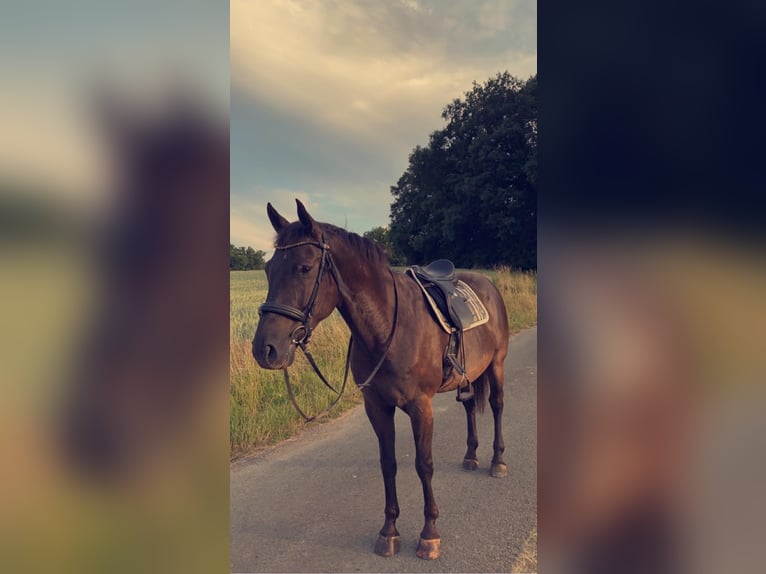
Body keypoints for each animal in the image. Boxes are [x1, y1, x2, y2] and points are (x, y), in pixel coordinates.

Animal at [252, 200, 512, 560]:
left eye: (304, 268)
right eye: (268, 269)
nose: (265, 349)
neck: (389, 325)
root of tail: (488, 285)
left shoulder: (421, 407)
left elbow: (423, 464)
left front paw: (429, 534)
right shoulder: (376, 407)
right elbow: (388, 464)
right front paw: (389, 531)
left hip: (497, 365)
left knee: (497, 407)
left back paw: (497, 461)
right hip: (467, 376)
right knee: (471, 407)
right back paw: (471, 456)